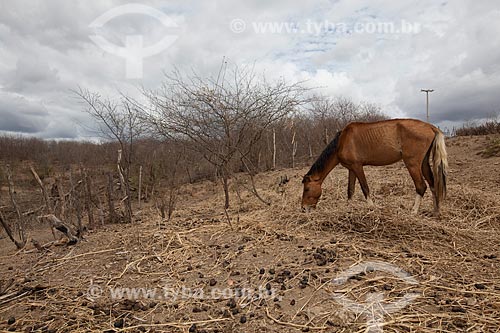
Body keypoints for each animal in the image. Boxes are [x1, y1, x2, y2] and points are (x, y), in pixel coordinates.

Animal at [300, 118, 450, 217]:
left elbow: (364, 187)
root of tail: (431, 127)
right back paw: (436, 212)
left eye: (307, 189)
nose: (303, 209)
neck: (342, 141)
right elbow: (350, 190)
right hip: (423, 163)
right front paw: (348, 208)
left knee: (421, 186)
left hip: (412, 164)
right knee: (433, 184)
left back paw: (413, 211)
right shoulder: (351, 169)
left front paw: (372, 207)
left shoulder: (357, 167)